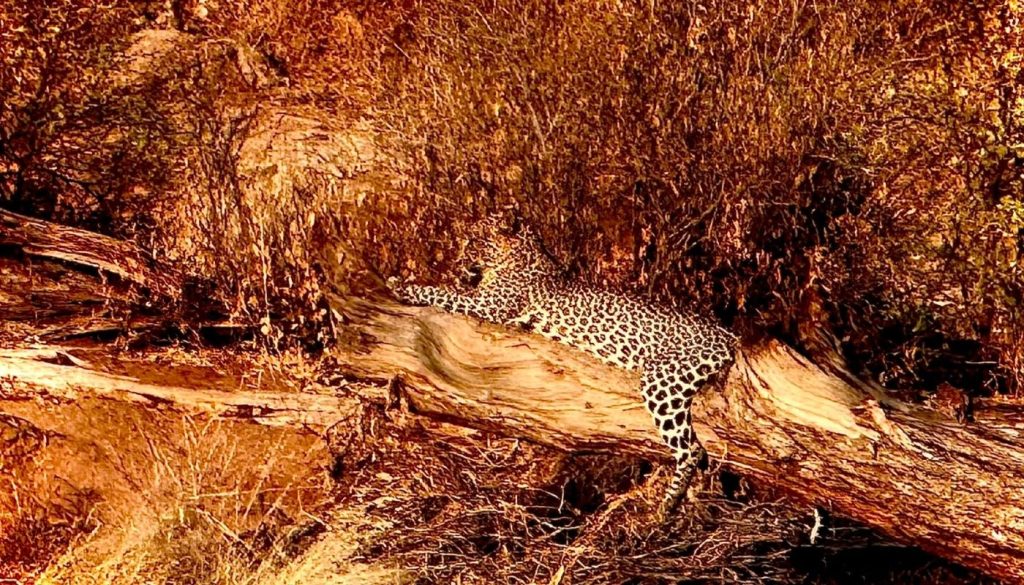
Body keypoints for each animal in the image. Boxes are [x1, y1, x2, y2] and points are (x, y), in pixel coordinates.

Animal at [387, 218, 738, 517]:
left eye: (475, 241)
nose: (459, 258)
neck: (524, 254)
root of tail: (727, 333)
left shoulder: (489, 305)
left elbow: (442, 291)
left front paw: (401, 284)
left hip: (662, 379)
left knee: (691, 449)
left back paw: (668, 505)